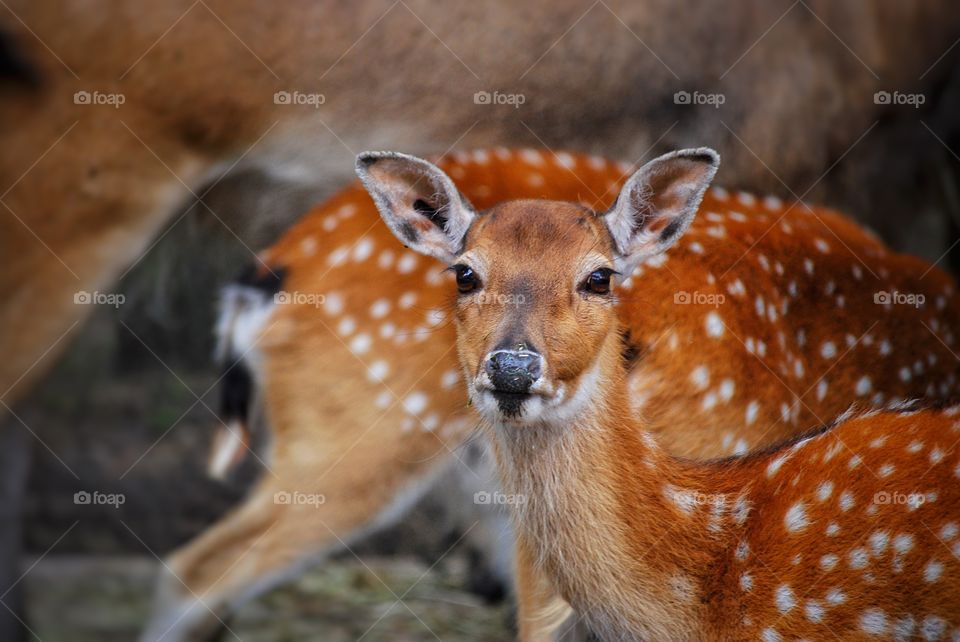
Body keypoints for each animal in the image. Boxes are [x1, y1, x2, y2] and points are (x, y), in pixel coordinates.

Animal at [141, 146, 960, 640]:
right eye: (463, 272)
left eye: (600, 276)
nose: (512, 367)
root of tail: (265, 273)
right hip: (355, 434)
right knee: (192, 571)